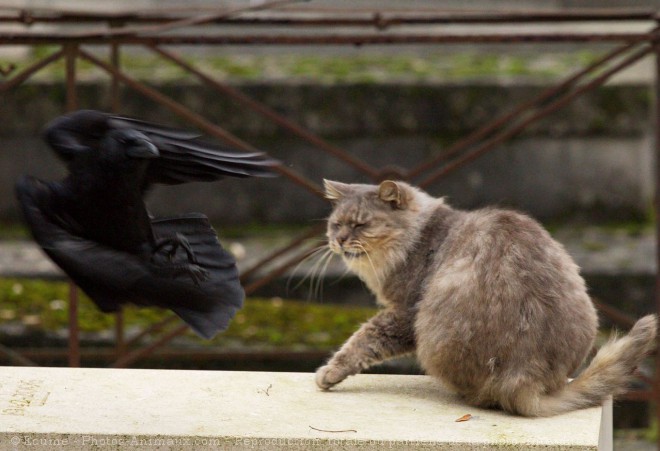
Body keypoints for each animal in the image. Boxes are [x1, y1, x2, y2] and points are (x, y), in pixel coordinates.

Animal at [314, 179, 656, 416]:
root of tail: (524, 377)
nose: (338, 240)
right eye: (336, 224)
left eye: (361, 224)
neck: (419, 238)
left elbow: (361, 341)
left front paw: (327, 374)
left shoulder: (403, 313)